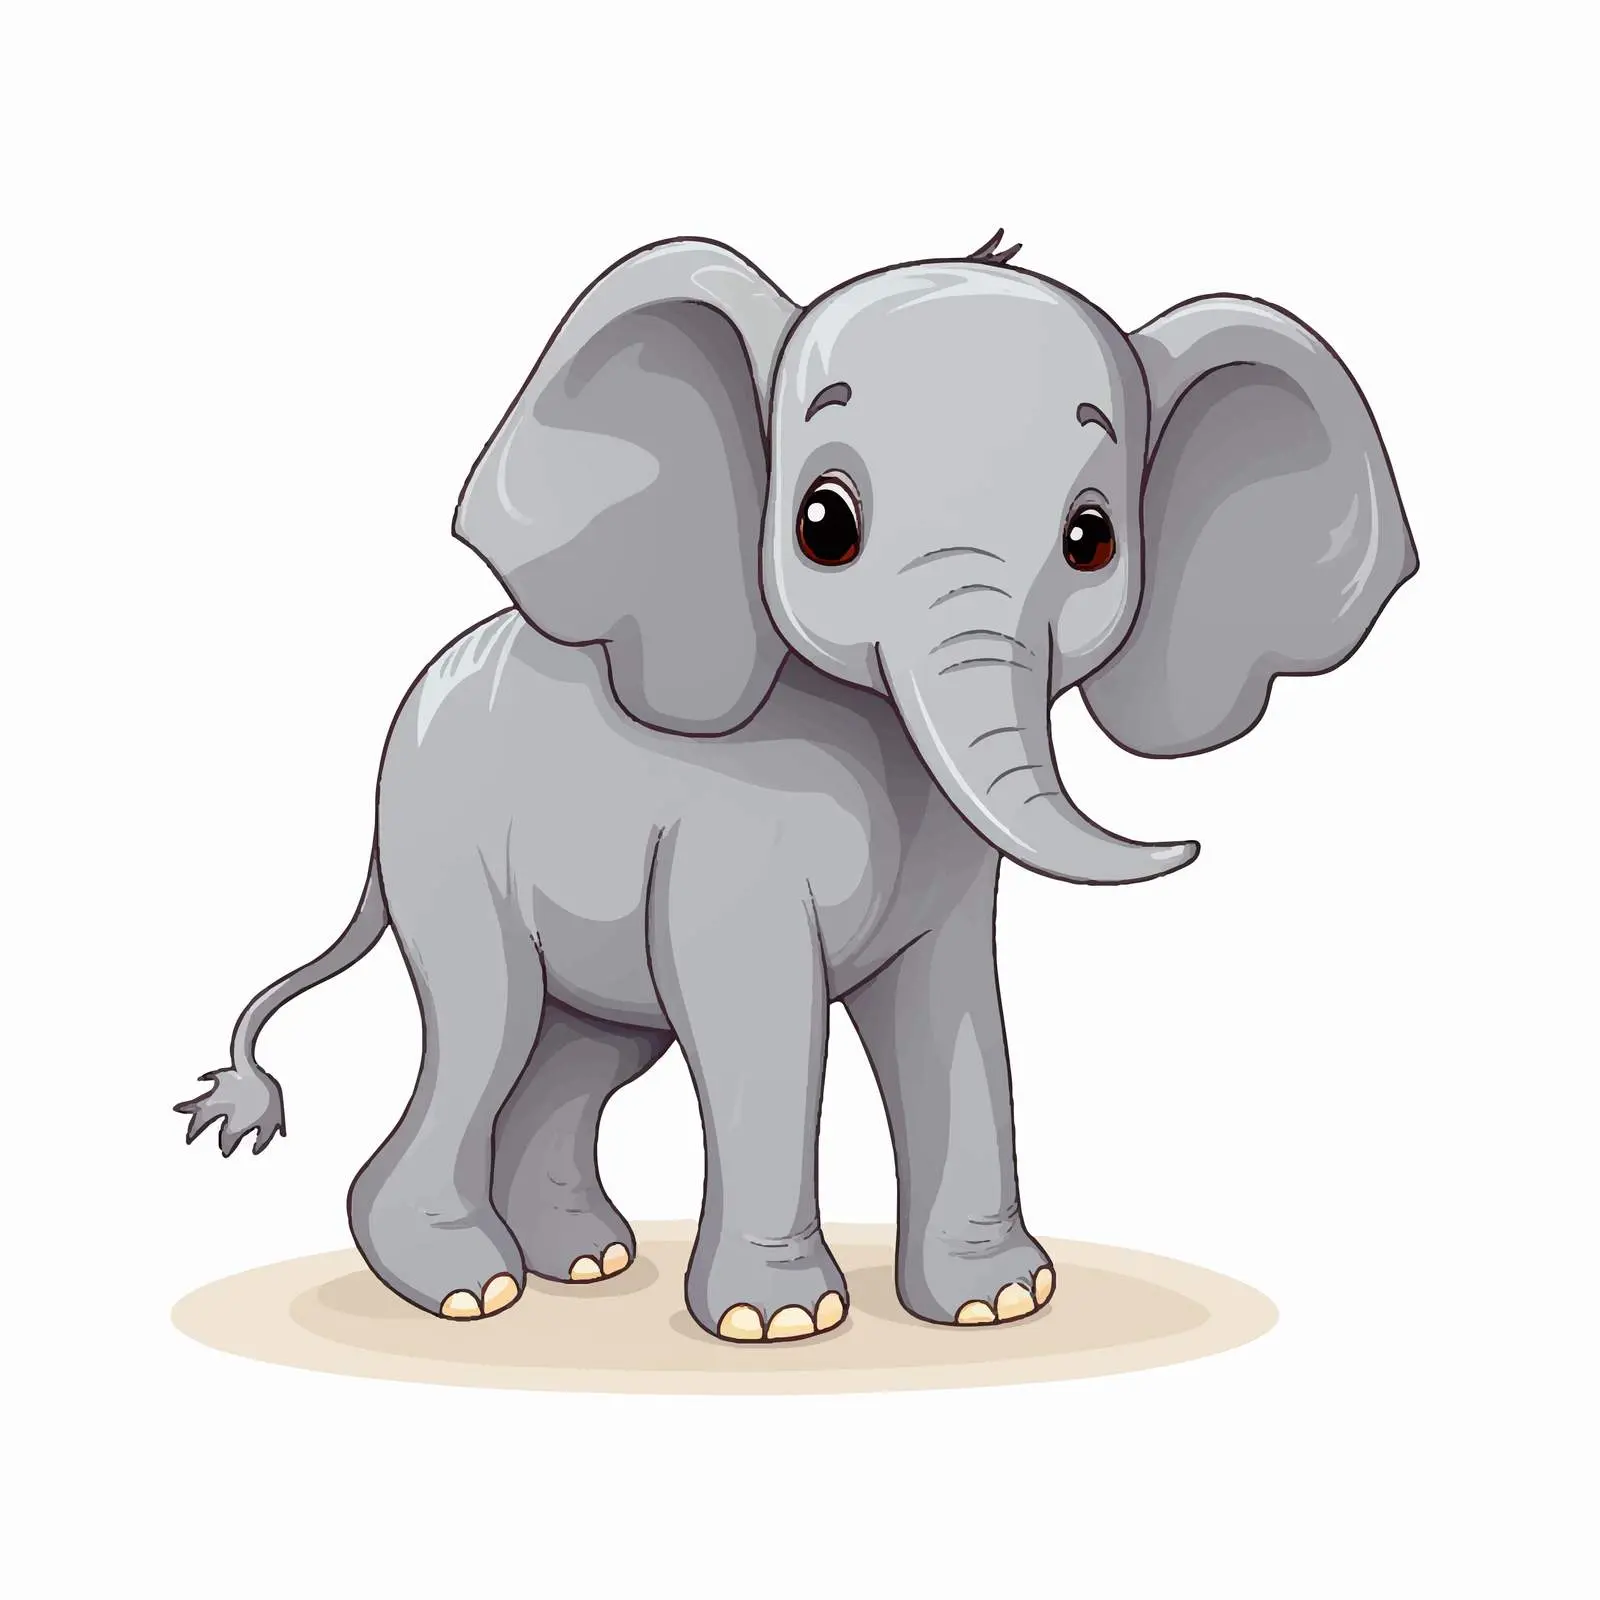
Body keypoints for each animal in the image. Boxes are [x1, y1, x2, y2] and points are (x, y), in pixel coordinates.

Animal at [175, 230, 1416, 1342]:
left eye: (1091, 539)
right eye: (824, 523)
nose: (1187, 843)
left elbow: (954, 1013)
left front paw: (998, 1303)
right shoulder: (730, 835)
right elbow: (761, 1012)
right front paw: (781, 1321)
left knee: (582, 1048)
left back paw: (583, 1260)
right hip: (446, 842)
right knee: (489, 1020)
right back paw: (468, 1289)